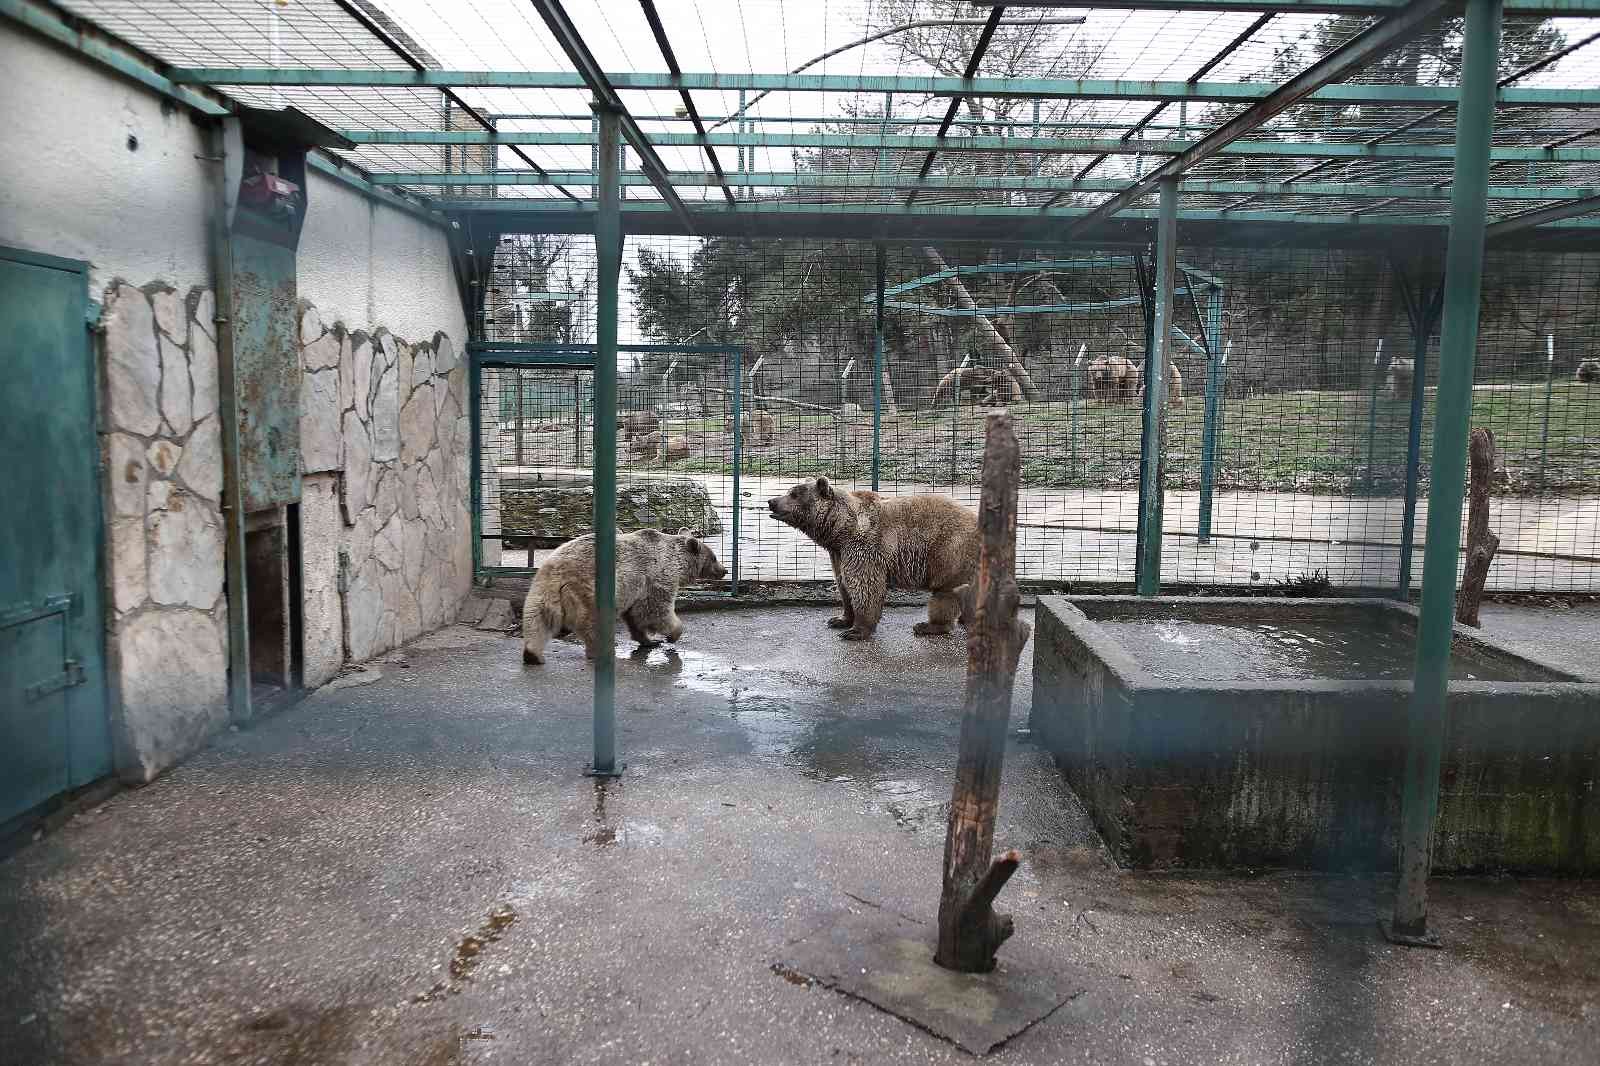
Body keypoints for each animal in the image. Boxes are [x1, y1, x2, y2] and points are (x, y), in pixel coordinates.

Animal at [521, 524, 729, 665]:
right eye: (714, 557)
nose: (724, 570)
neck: (676, 562)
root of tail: (556, 572)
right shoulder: (656, 577)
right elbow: (655, 610)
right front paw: (671, 635)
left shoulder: (637, 590)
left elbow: (635, 616)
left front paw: (649, 641)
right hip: (587, 591)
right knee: (593, 622)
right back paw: (602, 651)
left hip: (542, 592)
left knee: (538, 620)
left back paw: (533, 654)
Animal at [761, 473, 972, 640]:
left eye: (793, 494)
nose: (771, 501)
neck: (840, 530)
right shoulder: (838, 553)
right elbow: (843, 585)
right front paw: (839, 619)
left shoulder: (864, 548)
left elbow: (865, 586)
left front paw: (855, 631)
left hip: (950, 554)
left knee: (945, 596)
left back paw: (928, 626)